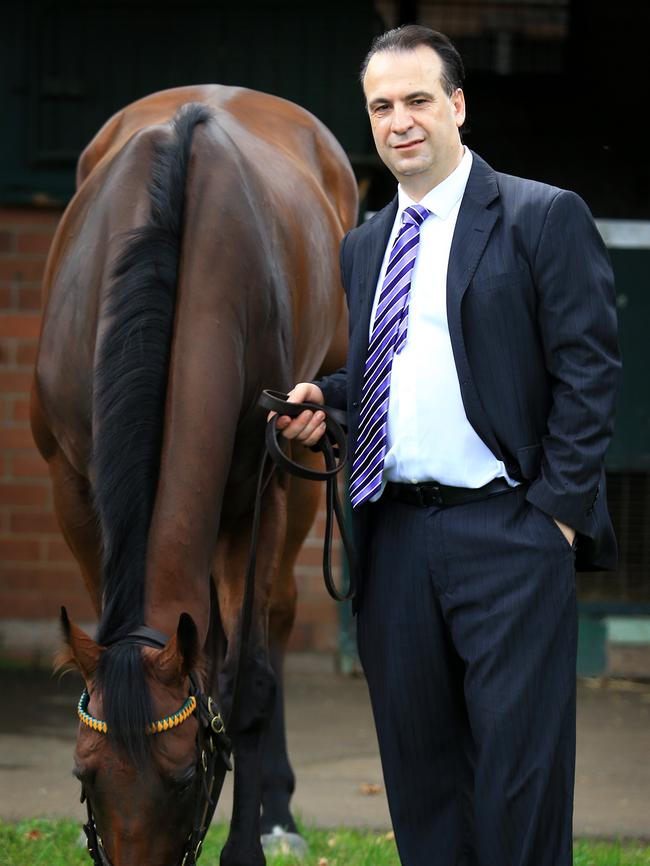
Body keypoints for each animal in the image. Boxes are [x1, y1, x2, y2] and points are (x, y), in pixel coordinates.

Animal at [29, 82, 354, 864]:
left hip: (303, 467)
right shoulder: (73, 491)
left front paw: (248, 845)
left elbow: (248, 683)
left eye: (183, 777)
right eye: (83, 773)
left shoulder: (257, 493)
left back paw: (280, 816)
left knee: (273, 621)